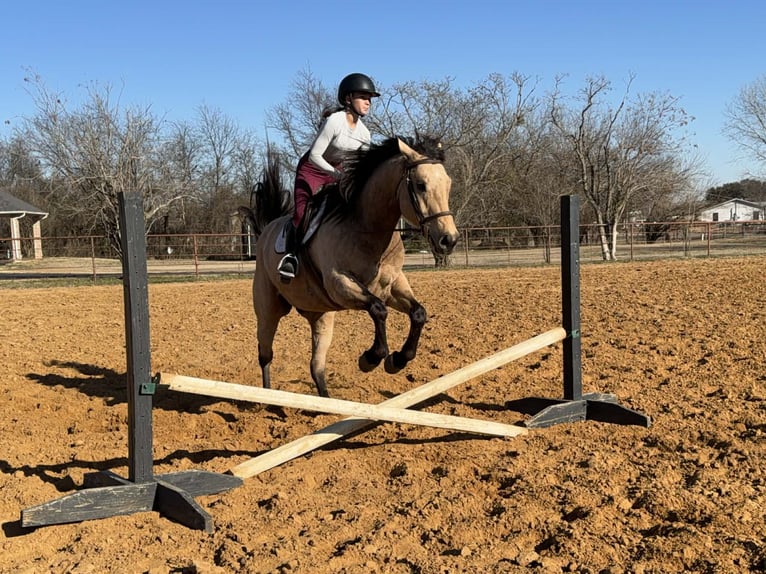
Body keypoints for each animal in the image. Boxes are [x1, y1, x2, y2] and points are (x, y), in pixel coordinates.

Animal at [242, 136, 459, 397]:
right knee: (265, 354)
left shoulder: (392, 285)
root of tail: (266, 230)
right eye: (420, 185)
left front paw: (397, 360)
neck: (368, 228)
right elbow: (378, 310)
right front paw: (371, 359)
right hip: (268, 310)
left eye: (448, 184)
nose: (449, 240)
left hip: (321, 315)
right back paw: (268, 397)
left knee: (316, 366)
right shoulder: (340, 284)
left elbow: (418, 313)